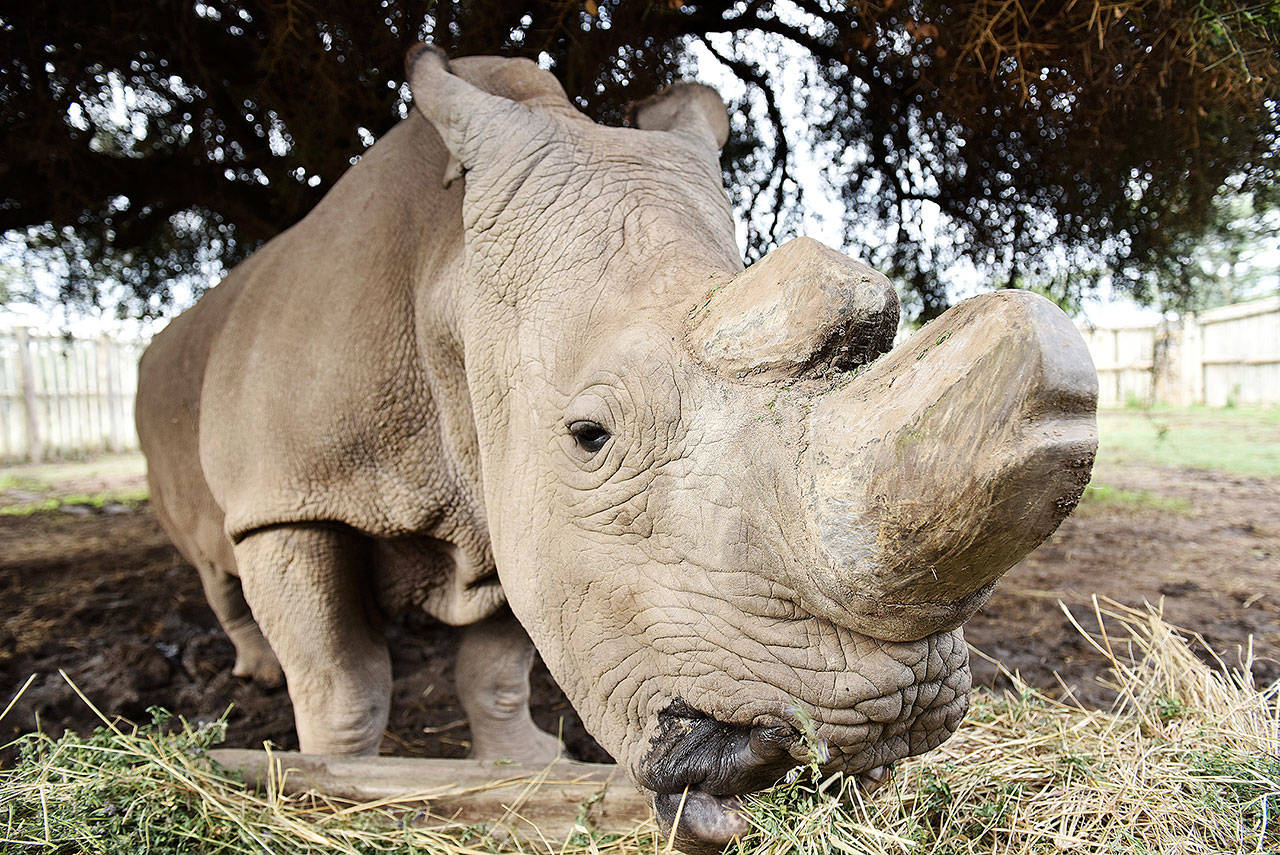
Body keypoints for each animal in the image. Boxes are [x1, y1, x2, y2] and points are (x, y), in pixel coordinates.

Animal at [140, 46, 1100, 855]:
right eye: (591, 437)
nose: (890, 717)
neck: (449, 281)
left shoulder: (506, 486)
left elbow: (500, 658)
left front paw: (524, 767)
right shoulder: (289, 496)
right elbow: (342, 679)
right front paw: (340, 782)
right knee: (215, 559)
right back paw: (257, 673)